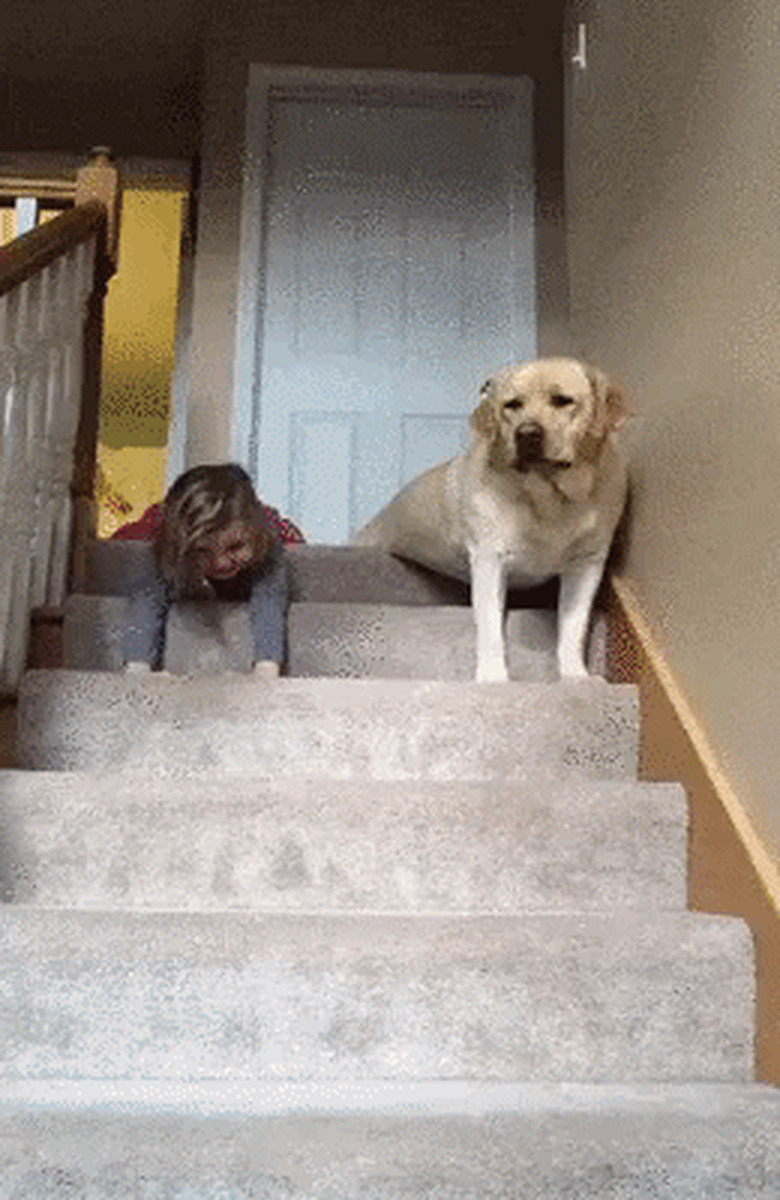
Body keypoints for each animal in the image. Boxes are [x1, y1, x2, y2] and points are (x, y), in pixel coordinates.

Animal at [352, 355, 624, 681]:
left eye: (562, 400)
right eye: (512, 405)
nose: (526, 434)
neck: (548, 500)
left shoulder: (586, 564)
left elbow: (573, 627)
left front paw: (574, 674)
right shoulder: (489, 559)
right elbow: (490, 627)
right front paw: (493, 677)